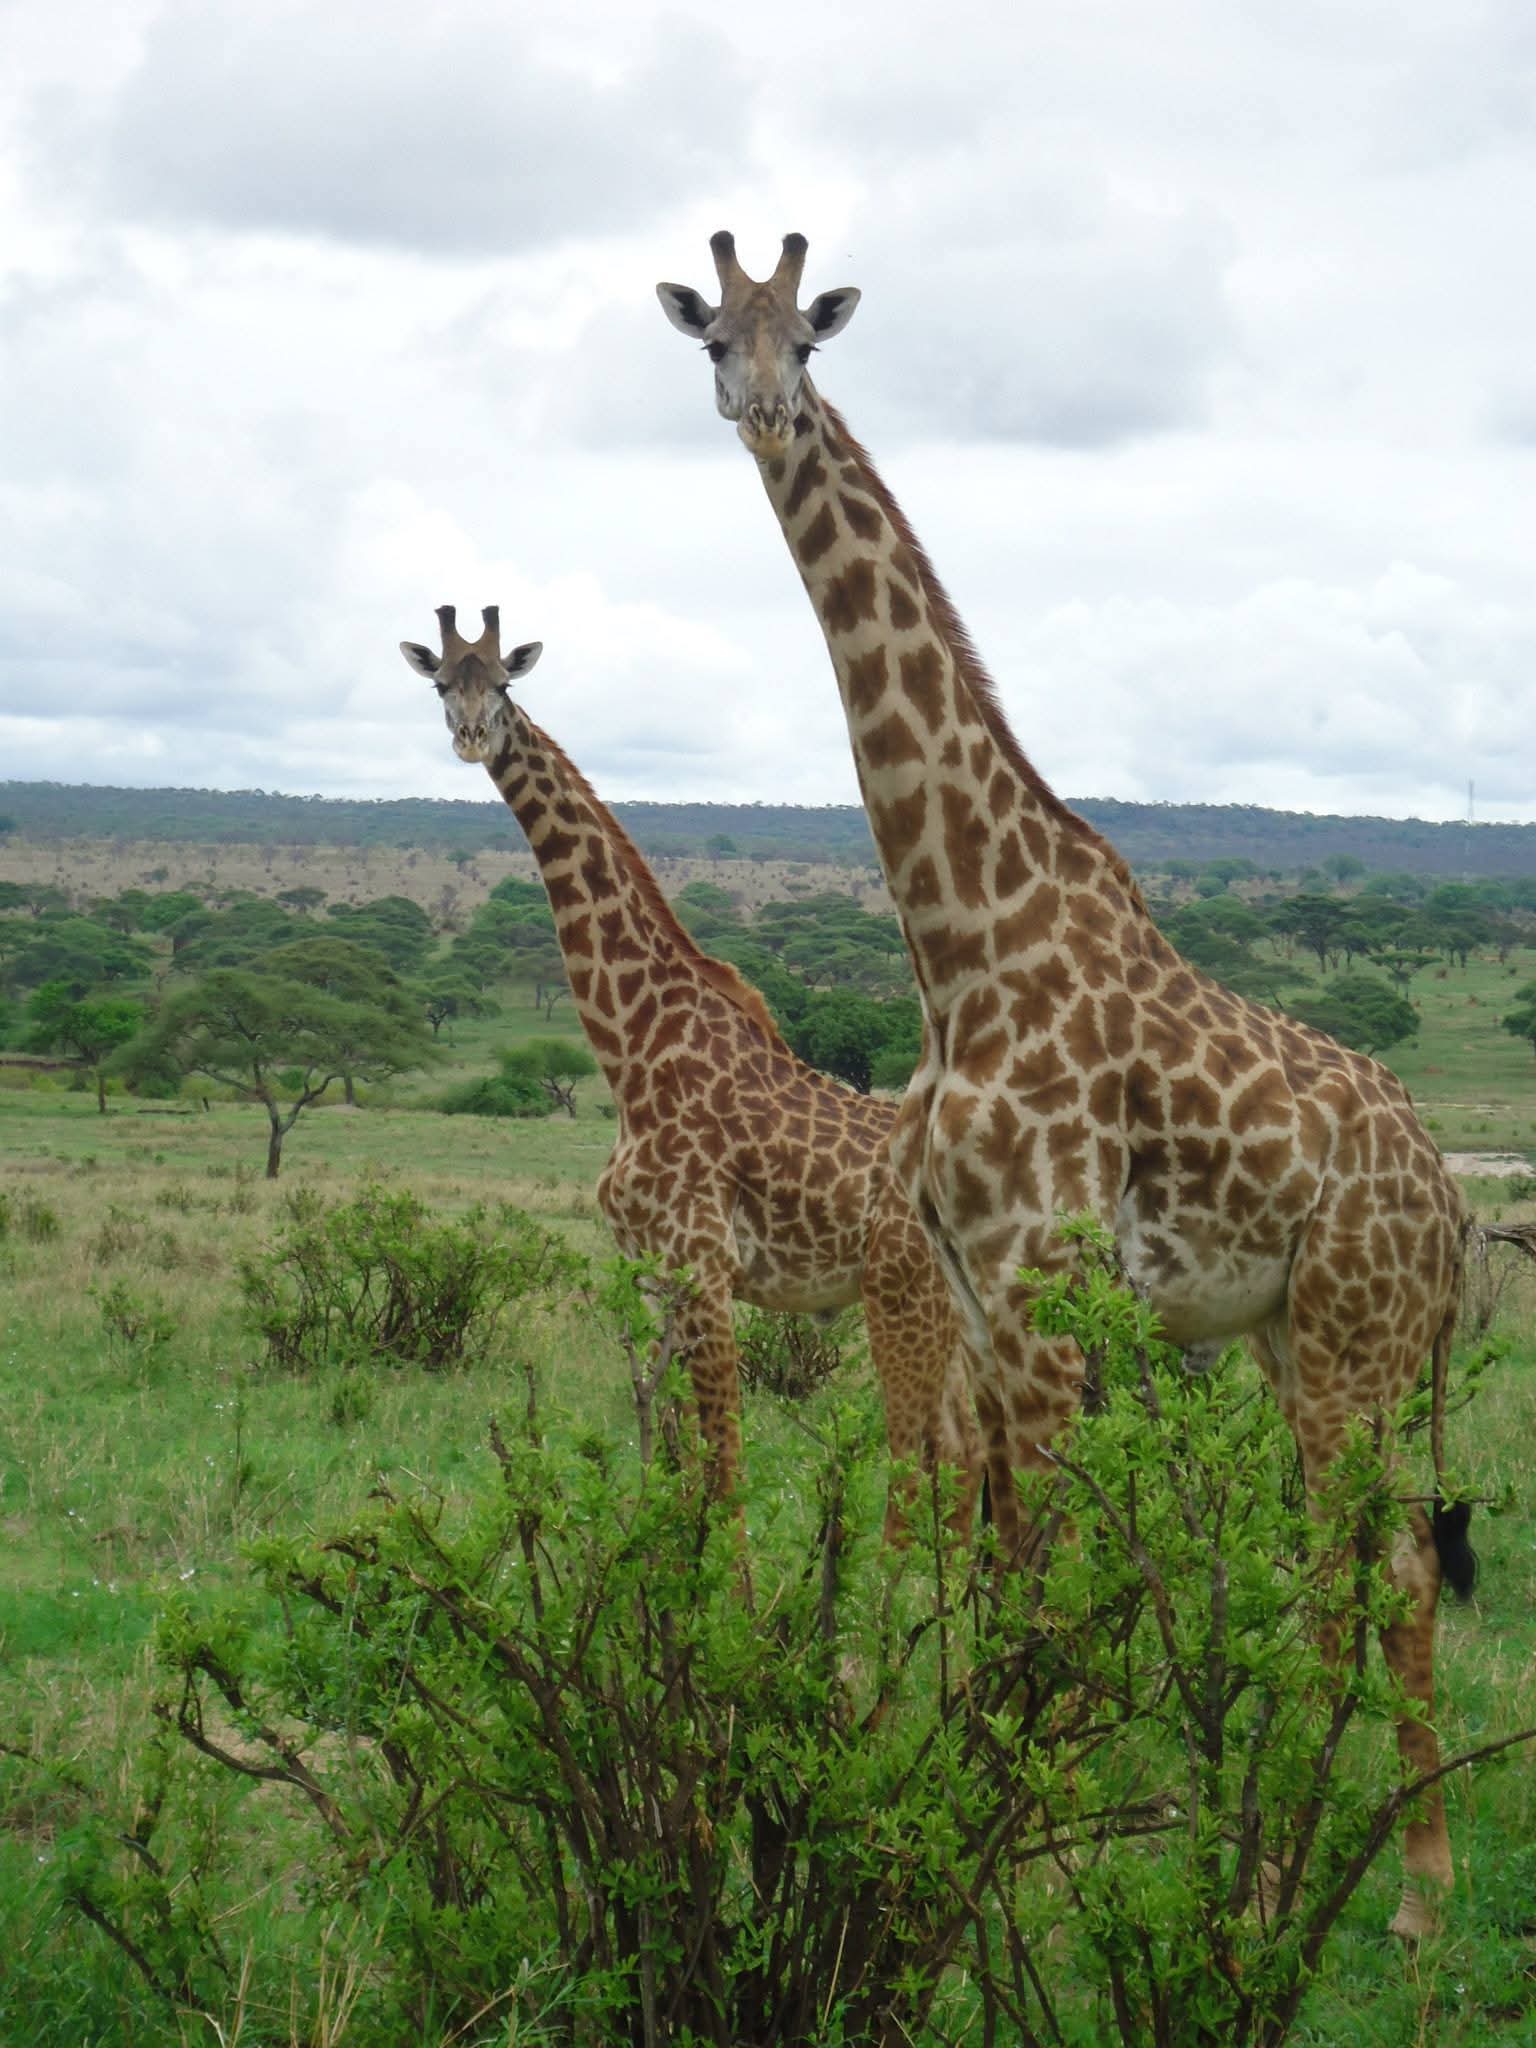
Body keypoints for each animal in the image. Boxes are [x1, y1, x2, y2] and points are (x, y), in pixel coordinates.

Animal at [400, 605, 981, 1539]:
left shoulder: (705, 1270)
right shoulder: (646, 1273)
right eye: (442, 683)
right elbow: (670, 1460)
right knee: (968, 1456)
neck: (630, 1055)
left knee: (920, 1458)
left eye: (506, 682)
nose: (471, 735)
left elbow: (726, 1464)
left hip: (902, 1301)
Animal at [657, 231, 1489, 1937]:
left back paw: (1369, 1891)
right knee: (1353, 1563)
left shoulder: (1042, 1290)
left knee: (1371, 1560)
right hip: (1291, 1339)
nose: (765, 411)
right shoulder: (979, 1296)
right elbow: (996, 1571)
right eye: (712, 335)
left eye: (807, 339)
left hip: (1358, 1342)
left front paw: (1030, 1876)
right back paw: (1323, 1876)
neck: (959, 938)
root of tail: (1447, 1194)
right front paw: (982, 1835)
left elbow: (1045, 1579)